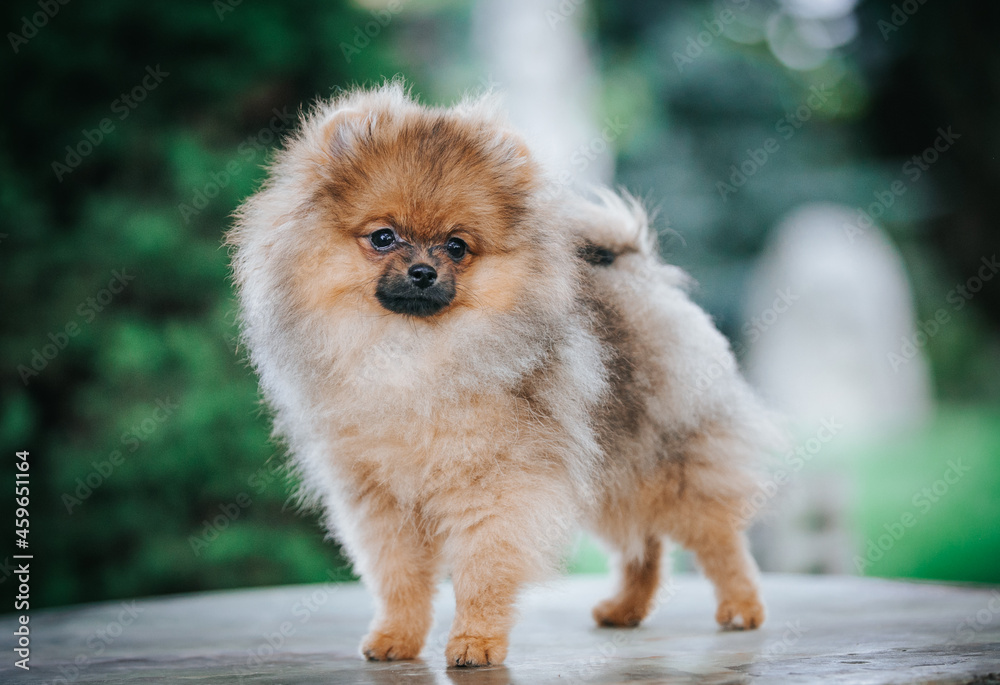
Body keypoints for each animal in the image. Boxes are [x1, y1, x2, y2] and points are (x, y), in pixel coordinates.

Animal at [229, 83, 780, 664]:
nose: (422, 271)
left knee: (716, 535)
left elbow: (483, 569)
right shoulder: (380, 497)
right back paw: (625, 608)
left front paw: (475, 642)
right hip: (610, 471)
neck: (410, 351)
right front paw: (397, 636)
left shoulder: (494, 485)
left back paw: (741, 607)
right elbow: (399, 576)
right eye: (383, 237)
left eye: (456, 246)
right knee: (643, 543)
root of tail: (637, 267)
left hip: (667, 462)